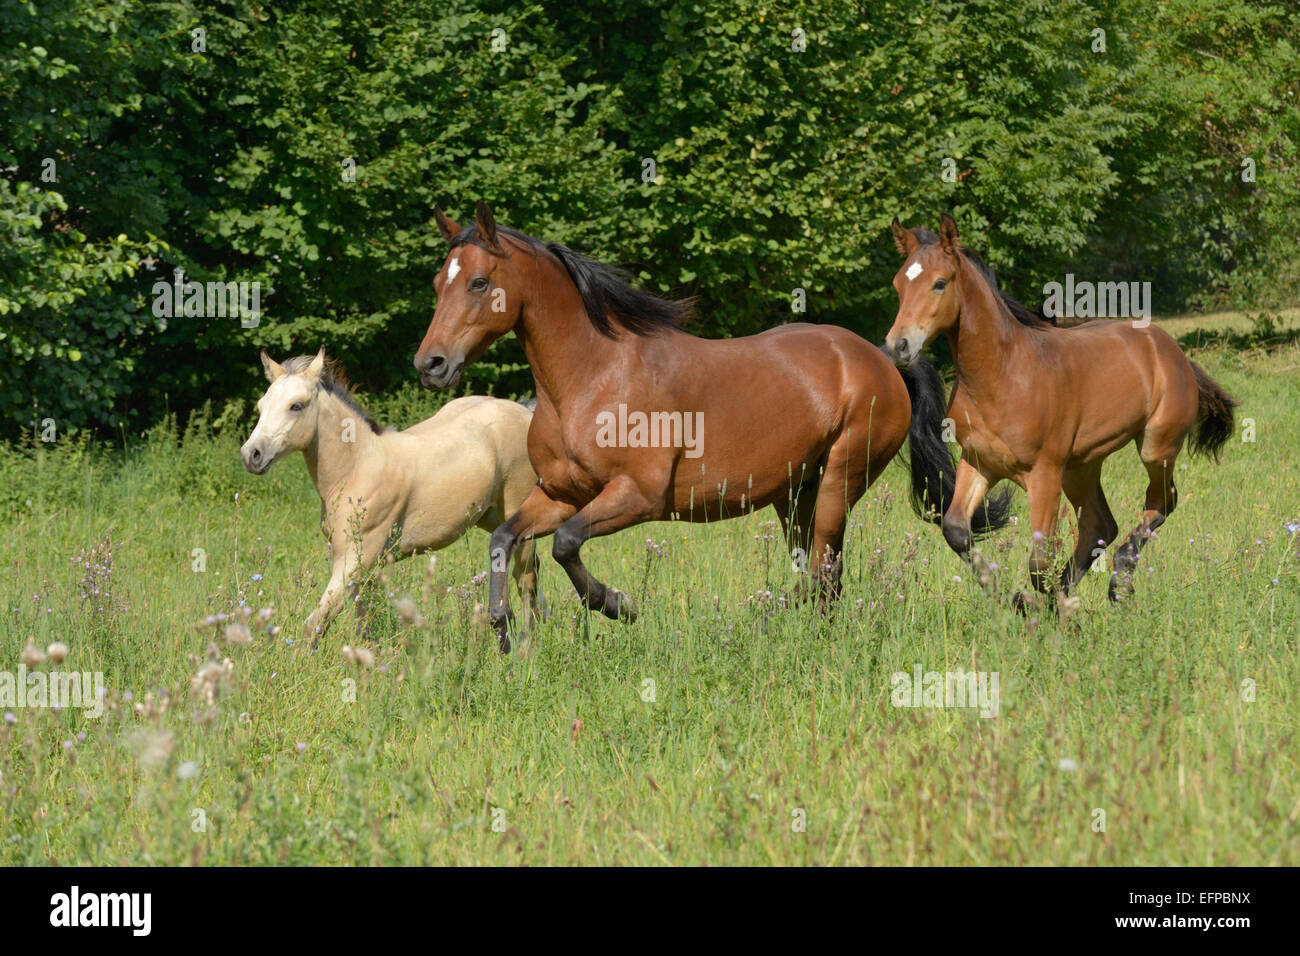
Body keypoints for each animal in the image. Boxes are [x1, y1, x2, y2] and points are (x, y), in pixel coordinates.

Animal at [241, 351, 540, 650]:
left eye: (296, 405)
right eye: (261, 405)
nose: (251, 455)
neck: (357, 468)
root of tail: (524, 411)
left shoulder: (353, 561)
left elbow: (314, 623)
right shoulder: (364, 567)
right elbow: (362, 625)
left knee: (525, 579)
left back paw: (525, 647)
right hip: (489, 517)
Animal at [410, 201, 1008, 650]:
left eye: (479, 282)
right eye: (439, 281)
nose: (430, 364)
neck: (591, 376)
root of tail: (882, 358)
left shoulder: (637, 496)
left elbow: (565, 543)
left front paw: (619, 605)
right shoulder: (560, 492)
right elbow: (506, 538)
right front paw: (503, 630)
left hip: (839, 480)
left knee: (822, 574)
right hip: (796, 493)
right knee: (821, 578)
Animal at [883, 215, 1237, 606]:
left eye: (939, 283)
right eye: (899, 284)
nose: (898, 346)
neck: (1003, 375)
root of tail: (1172, 350)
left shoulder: (1044, 474)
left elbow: (1038, 562)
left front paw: (1038, 608)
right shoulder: (978, 462)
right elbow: (957, 530)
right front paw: (1009, 598)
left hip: (1154, 448)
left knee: (1161, 502)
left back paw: (1119, 583)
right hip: (1082, 466)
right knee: (1100, 524)